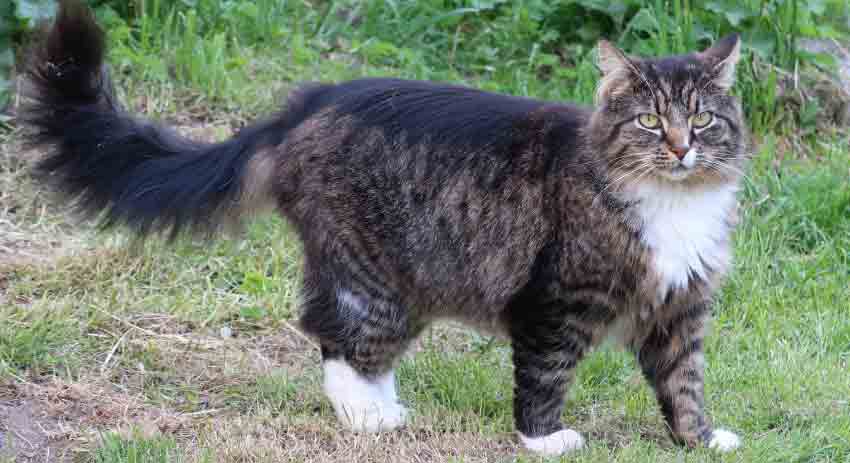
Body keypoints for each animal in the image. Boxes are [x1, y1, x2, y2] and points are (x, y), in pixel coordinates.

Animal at [21, 0, 748, 456]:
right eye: (649, 121)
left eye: (701, 119)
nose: (680, 147)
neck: (673, 204)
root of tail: (306, 103)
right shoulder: (554, 301)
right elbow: (545, 374)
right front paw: (545, 440)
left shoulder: (680, 308)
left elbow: (684, 382)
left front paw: (701, 438)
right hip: (376, 275)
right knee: (337, 339)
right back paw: (372, 420)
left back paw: (386, 407)